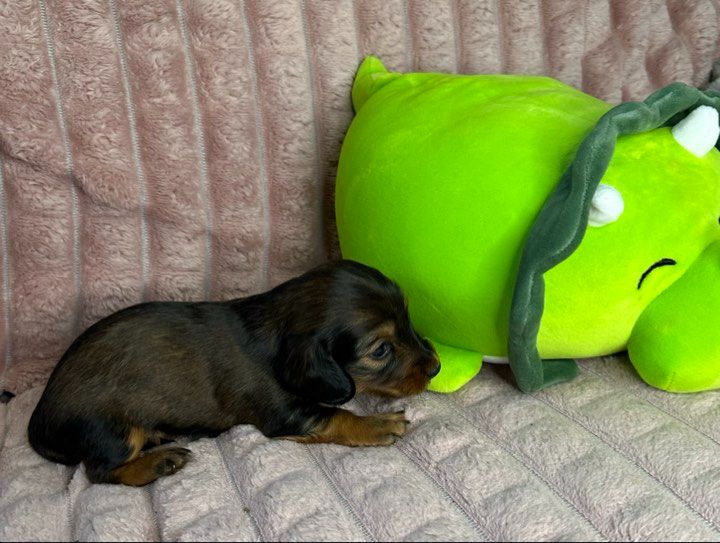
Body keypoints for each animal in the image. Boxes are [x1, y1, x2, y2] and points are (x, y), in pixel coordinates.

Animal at [28, 260, 440, 486]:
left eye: (408, 318)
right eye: (381, 350)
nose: (436, 367)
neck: (276, 328)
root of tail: (39, 416)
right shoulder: (287, 415)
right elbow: (338, 415)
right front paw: (379, 424)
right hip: (113, 430)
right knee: (99, 472)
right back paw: (158, 462)